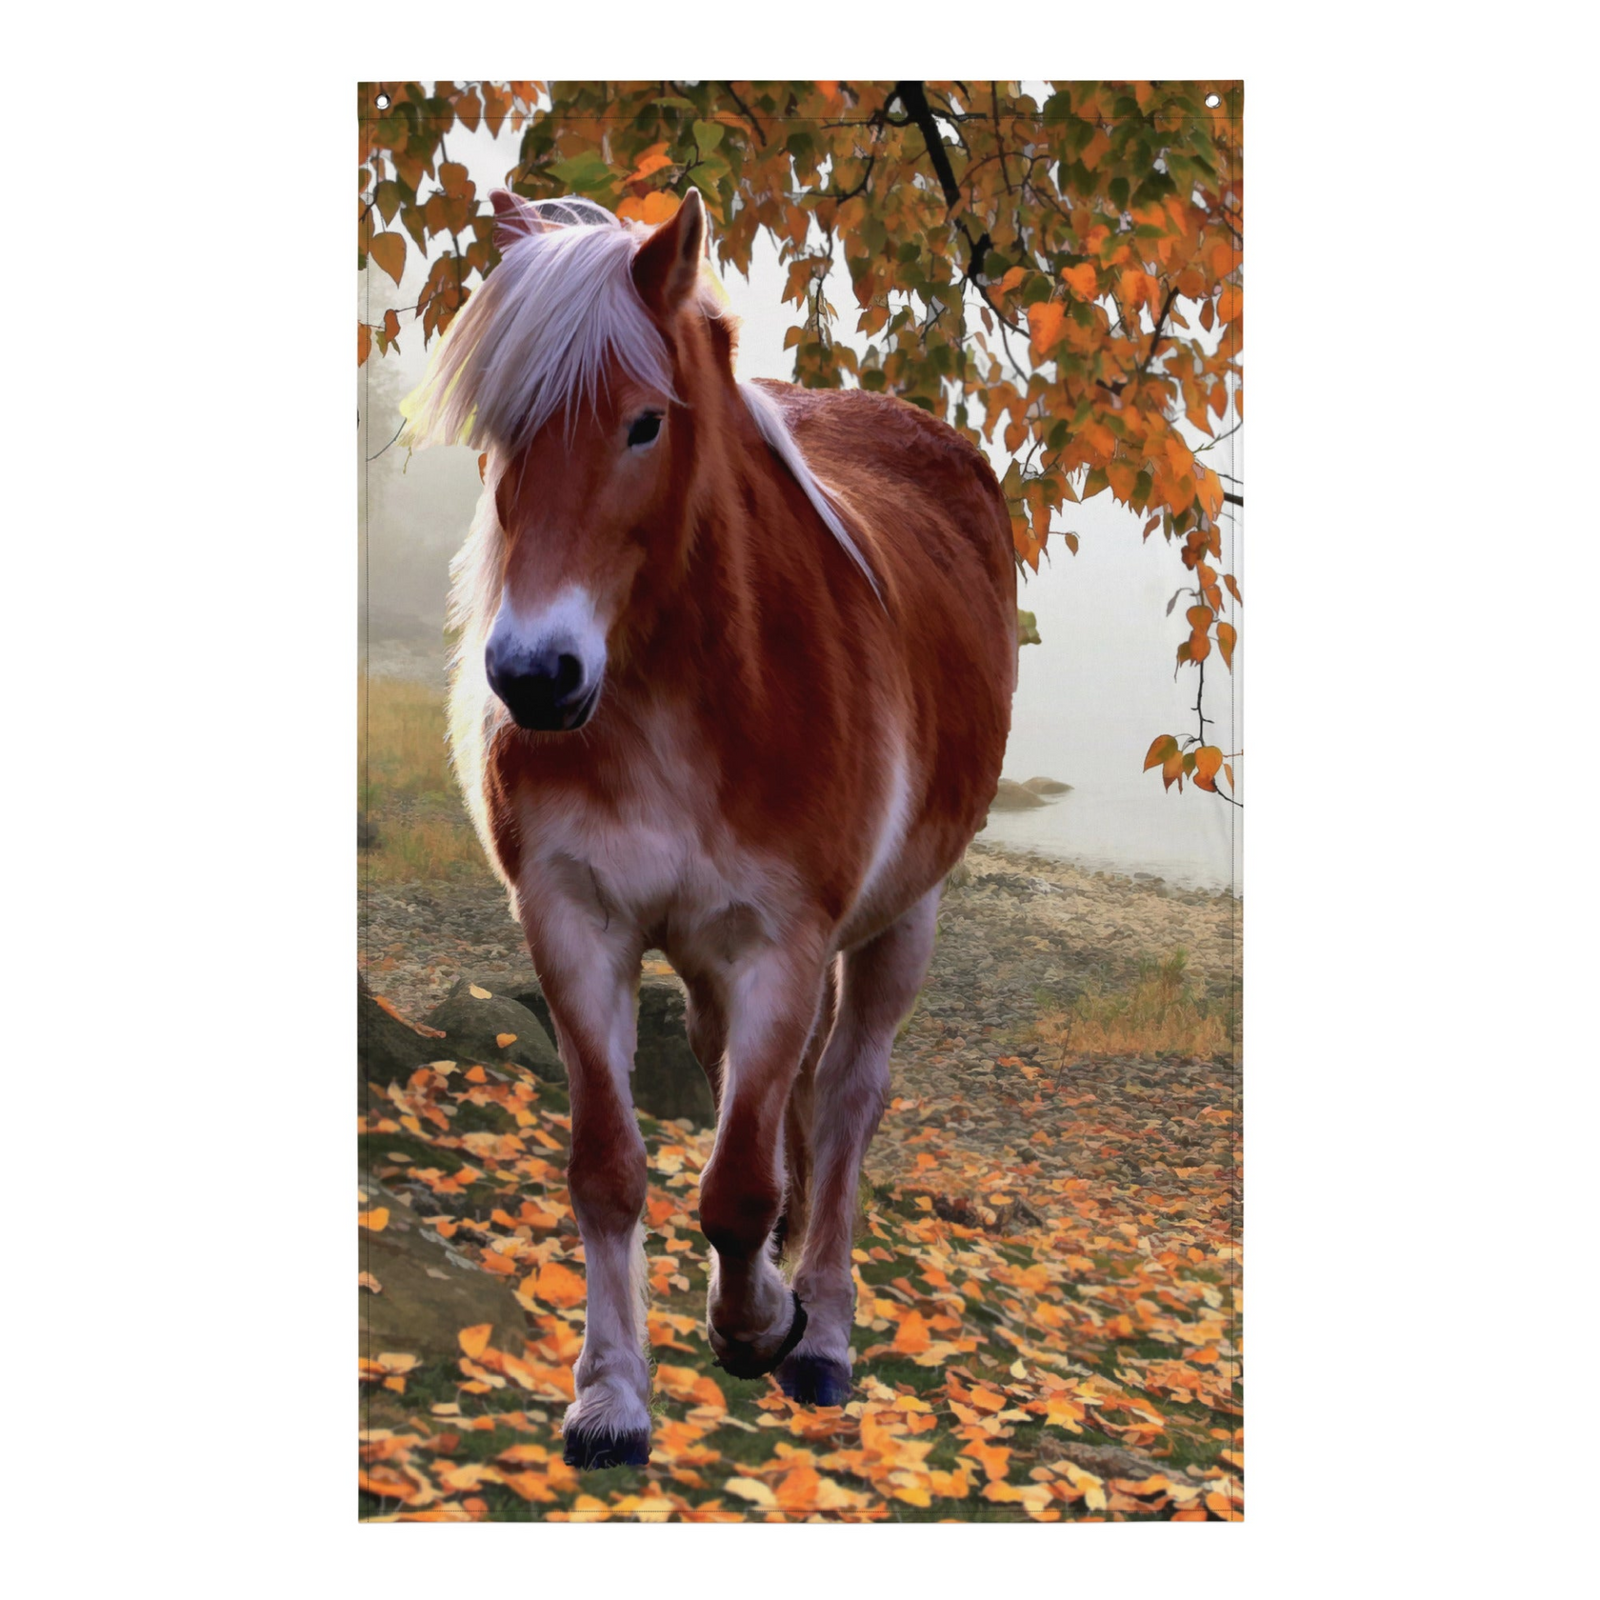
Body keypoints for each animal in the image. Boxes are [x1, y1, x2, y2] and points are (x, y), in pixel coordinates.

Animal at [403, 187, 1017, 1469]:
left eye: (643, 425)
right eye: (499, 431)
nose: (533, 678)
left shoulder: (783, 940)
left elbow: (740, 1183)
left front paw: (759, 1323)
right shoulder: (575, 923)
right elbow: (610, 1167)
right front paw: (610, 1395)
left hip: (904, 920)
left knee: (844, 1103)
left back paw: (819, 1330)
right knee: (756, 1083)